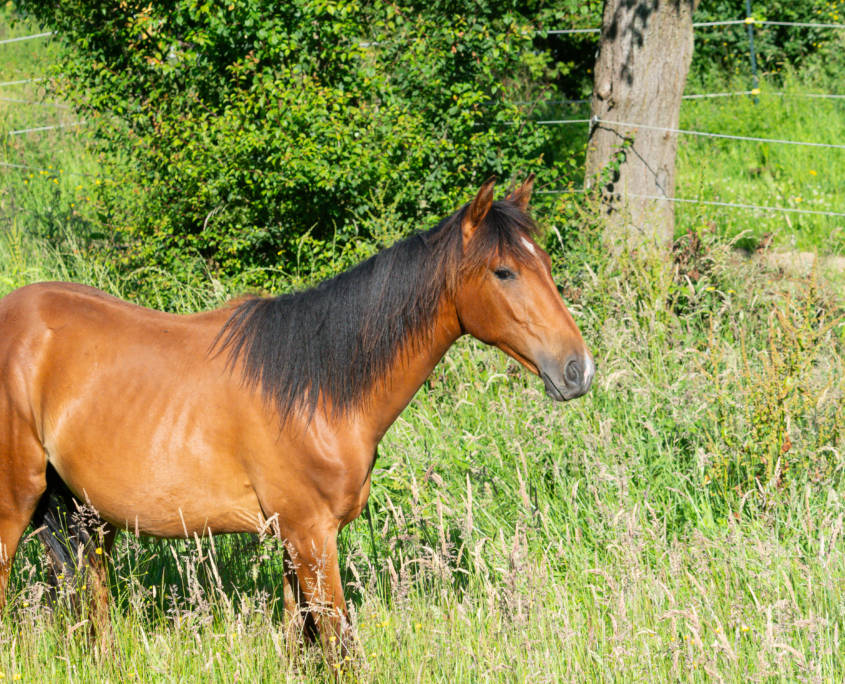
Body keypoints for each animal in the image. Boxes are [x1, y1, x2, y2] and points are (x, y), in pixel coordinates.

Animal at [0, 174, 592, 656]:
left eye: (546, 264)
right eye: (504, 271)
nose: (578, 370)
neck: (317, 390)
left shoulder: (292, 542)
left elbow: (297, 642)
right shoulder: (311, 539)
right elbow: (340, 647)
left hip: (87, 517)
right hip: (17, 502)